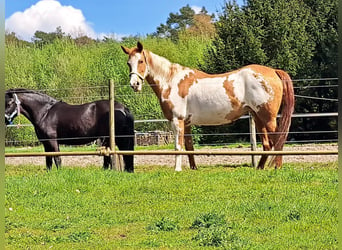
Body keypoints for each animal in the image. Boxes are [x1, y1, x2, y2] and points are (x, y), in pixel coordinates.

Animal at [5, 88, 134, 172]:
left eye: (9, 103)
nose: (5, 120)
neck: (45, 112)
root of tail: (123, 108)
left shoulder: (52, 141)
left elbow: (57, 158)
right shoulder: (46, 143)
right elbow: (48, 160)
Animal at [121, 42, 294, 171]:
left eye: (141, 61)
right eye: (129, 63)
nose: (134, 84)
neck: (171, 81)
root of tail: (273, 71)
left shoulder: (177, 121)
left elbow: (178, 146)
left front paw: (177, 169)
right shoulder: (187, 123)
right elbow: (189, 146)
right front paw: (193, 168)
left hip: (268, 117)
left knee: (278, 139)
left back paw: (277, 167)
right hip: (258, 117)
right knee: (267, 144)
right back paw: (260, 168)